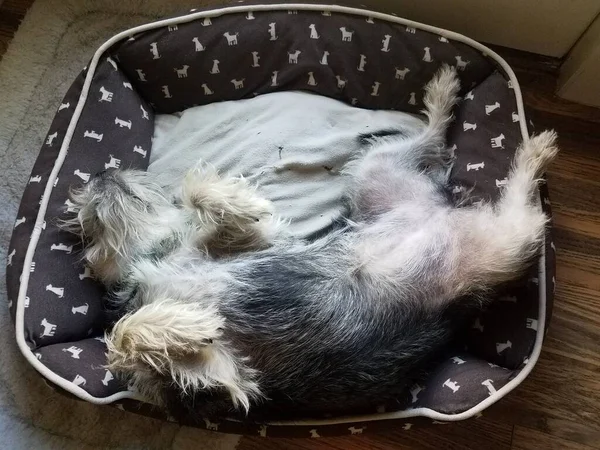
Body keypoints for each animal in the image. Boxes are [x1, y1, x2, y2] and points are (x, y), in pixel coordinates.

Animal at [63, 66, 560, 418]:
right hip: (495, 231)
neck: (159, 258)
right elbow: (124, 334)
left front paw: (229, 195)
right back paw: (523, 144)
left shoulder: (258, 243)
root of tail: (443, 209)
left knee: (436, 138)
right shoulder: (226, 378)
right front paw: (187, 322)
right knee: (508, 192)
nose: (100, 173)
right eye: (87, 232)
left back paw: (460, 102)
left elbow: (209, 201)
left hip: (380, 174)